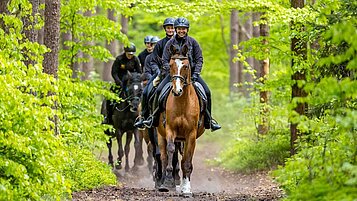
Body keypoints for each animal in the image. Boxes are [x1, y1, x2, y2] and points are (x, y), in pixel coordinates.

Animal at [156, 44, 206, 196]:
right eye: (171, 65)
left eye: (186, 66)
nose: (177, 90)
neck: (182, 103)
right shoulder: (170, 130)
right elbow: (170, 151)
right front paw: (167, 182)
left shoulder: (191, 135)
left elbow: (187, 162)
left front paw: (186, 189)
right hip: (161, 135)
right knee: (164, 158)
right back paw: (164, 183)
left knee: (183, 158)